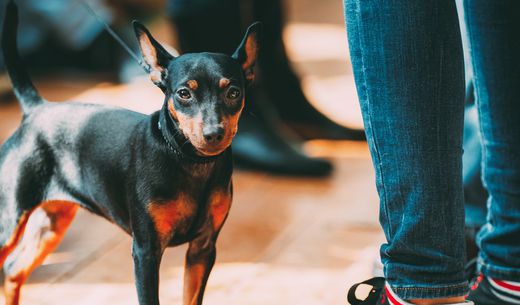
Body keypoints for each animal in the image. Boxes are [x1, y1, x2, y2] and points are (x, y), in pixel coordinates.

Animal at [0, 2, 260, 304]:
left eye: (234, 93)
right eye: (184, 93)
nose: (214, 133)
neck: (188, 161)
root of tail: (36, 108)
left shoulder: (203, 248)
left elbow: (192, 297)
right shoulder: (146, 252)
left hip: (53, 223)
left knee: (13, 271)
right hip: (11, 221)